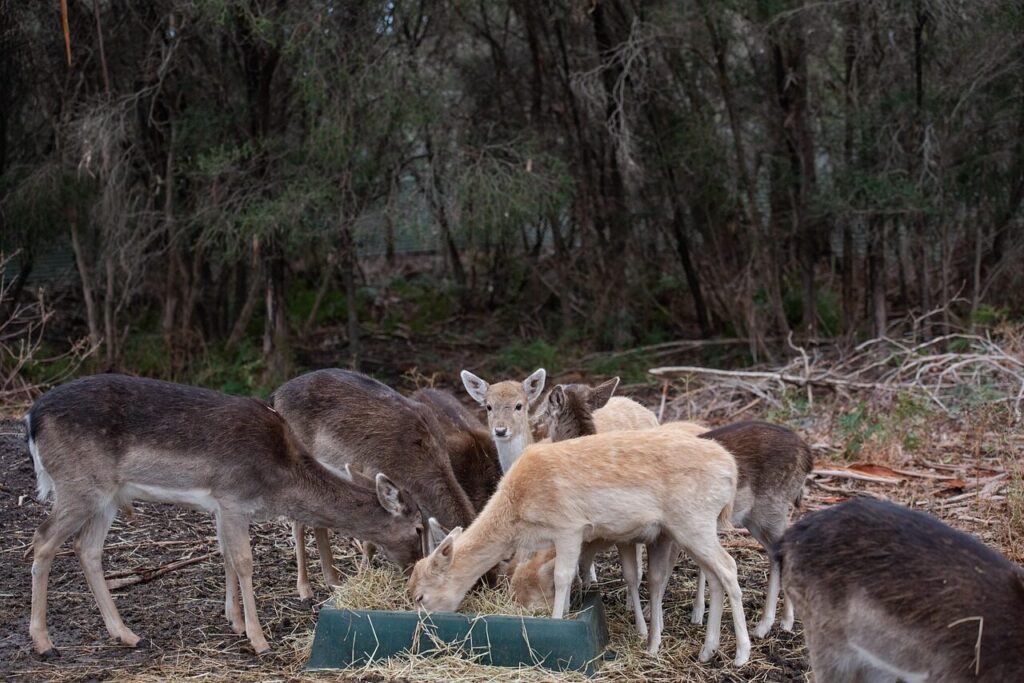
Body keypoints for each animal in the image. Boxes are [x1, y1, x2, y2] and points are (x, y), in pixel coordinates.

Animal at [23, 374, 423, 657]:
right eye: (419, 528)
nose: (414, 572)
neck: (279, 478)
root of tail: (30, 418)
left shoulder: (220, 504)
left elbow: (226, 554)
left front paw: (235, 621)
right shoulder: (232, 497)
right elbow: (243, 561)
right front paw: (259, 640)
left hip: (107, 496)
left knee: (86, 548)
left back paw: (126, 635)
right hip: (78, 485)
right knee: (42, 539)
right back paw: (44, 643)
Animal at [271, 369, 476, 601]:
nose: (487, 586)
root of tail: (276, 396)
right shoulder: (371, 475)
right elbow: (371, 538)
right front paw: (363, 575)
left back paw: (333, 580)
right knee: (298, 521)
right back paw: (305, 589)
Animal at [408, 423, 751, 665]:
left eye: (420, 596)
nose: (424, 627)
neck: (519, 513)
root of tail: (732, 471)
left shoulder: (569, 526)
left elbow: (562, 576)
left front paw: (556, 622)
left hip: (694, 521)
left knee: (729, 567)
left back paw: (741, 655)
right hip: (688, 528)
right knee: (715, 576)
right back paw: (707, 651)